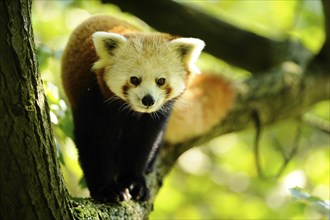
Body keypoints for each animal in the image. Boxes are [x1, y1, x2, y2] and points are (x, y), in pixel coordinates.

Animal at [60, 14, 233, 202]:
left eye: (161, 81)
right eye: (134, 79)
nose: (148, 100)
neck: (131, 112)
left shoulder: (156, 116)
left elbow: (143, 144)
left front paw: (135, 183)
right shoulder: (94, 100)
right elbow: (95, 143)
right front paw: (107, 189)